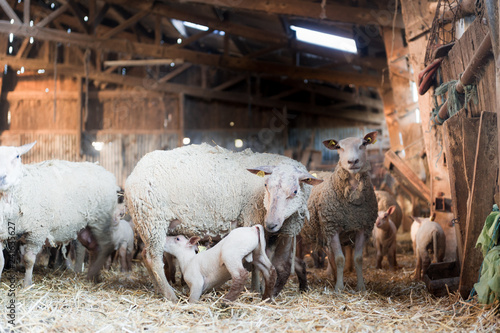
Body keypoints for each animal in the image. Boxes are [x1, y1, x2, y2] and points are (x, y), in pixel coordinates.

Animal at [0, 141, 118, 284]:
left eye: (17, 156)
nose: (1, 177)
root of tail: (106, 172)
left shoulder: (37, 231)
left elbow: (29, 260)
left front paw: (27, 284)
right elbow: (1, 261)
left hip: (100, 219)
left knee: (106, 246)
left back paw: (92, 274)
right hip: (85, 227)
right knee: (95, 248)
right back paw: (92, 275)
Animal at [124, 143, 320, 300]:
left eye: (295, 191)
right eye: (266, 185)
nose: (271, 223)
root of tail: (133, 174)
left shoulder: (283, 230)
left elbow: (275, 263)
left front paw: (262, 289)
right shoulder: (251, 217)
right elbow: (257, 265)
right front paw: (256, 289)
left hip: (147, 223)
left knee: (146, 256)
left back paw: (160, 289)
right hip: (152, 220)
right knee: (153, 258)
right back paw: (170, 294)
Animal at [300, 132, 378, 290]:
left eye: (363, 144)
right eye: (338, 147)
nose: (352, 161)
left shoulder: (362, 227)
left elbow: (358, 259)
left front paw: (361, 287)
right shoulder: (332, 228)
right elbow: (340, 259)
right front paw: (339, 288)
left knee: (330, 256)